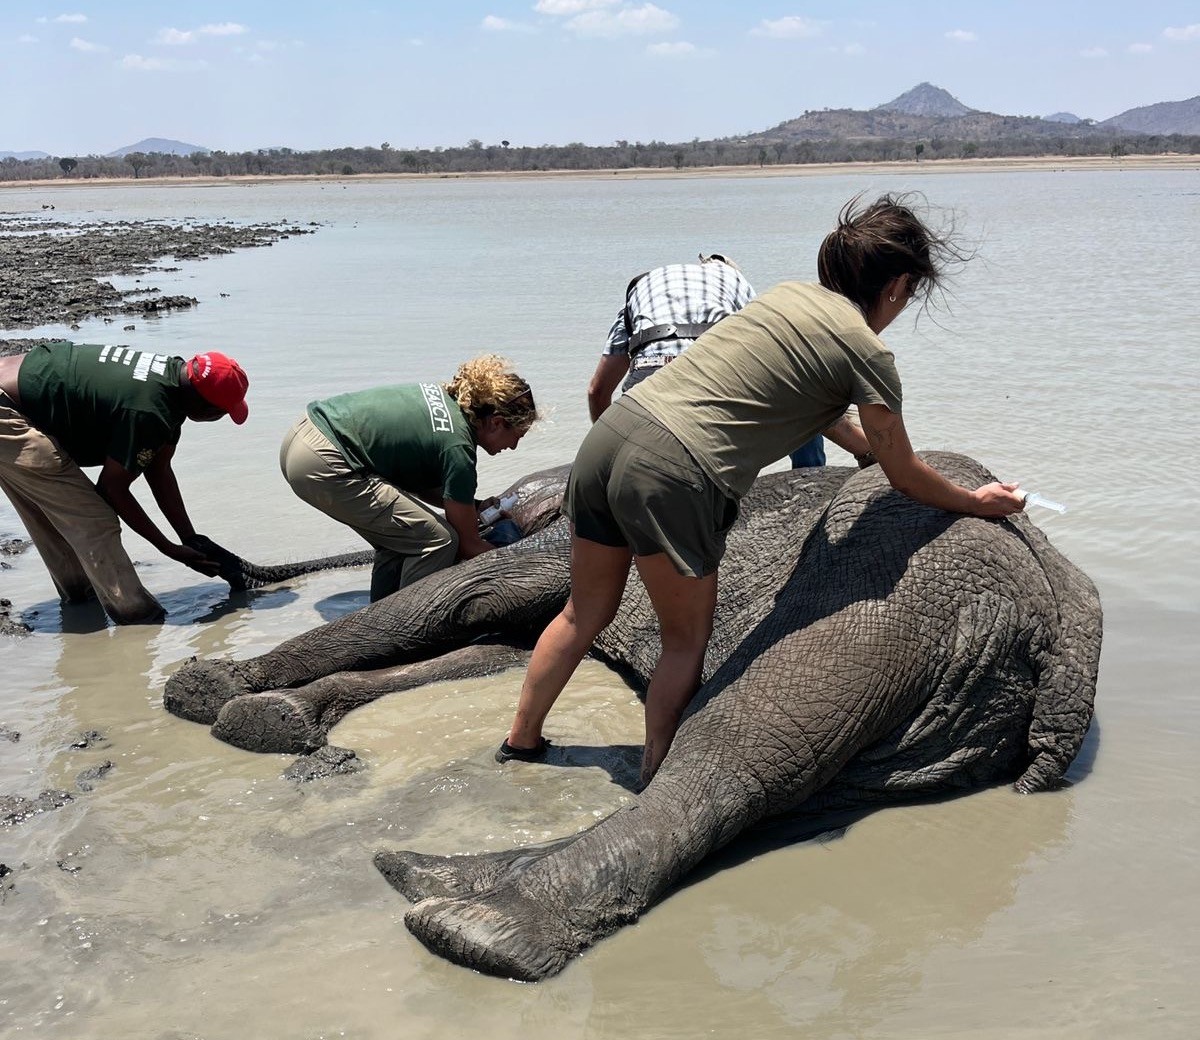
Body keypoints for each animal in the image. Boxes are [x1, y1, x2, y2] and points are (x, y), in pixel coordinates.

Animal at [163, 453, 1101, 981]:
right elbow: (488, 643)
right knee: (793, 784)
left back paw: (478, 930)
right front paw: (273, 714)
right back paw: (433, 875)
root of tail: (1065, 621)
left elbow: (460, 601)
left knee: (734, 752)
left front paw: (213, 695)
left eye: (497, 504)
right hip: (958, 703)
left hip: (894, 591)